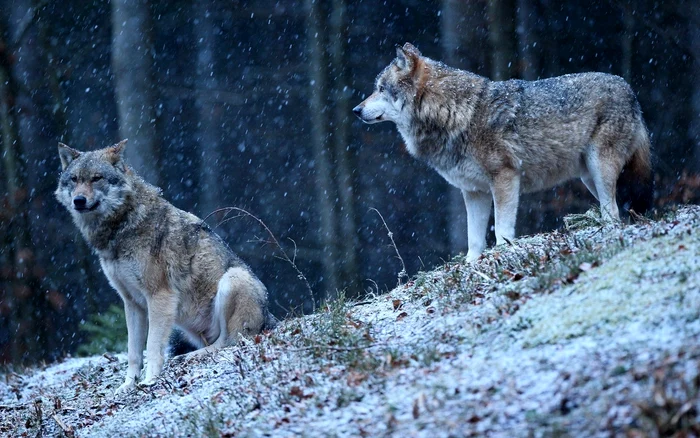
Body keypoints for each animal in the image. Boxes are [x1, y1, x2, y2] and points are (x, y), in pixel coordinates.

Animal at [55, 140, 276, 394]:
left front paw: (150, 380)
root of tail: (270, 318)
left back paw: (191, 357)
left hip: (233, 279)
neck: (122, 226)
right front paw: (128, 385)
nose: (79, 200)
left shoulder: (159, 296)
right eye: (74, 179)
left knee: (229, 341)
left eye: (96, 178)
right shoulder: (131, 303)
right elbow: (133, 352)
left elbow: (152, 346)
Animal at [353, 43, 653, 262]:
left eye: (380, 89)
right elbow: (474, 238)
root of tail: (630, 89)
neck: (455, 113)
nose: (356, 110)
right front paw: (471, 265)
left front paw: (502, 251)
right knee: (615, 210)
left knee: (613, 212)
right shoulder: (474, 192)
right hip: (588, 177)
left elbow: (502, 227)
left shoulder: (505, 178)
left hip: (599, 169)